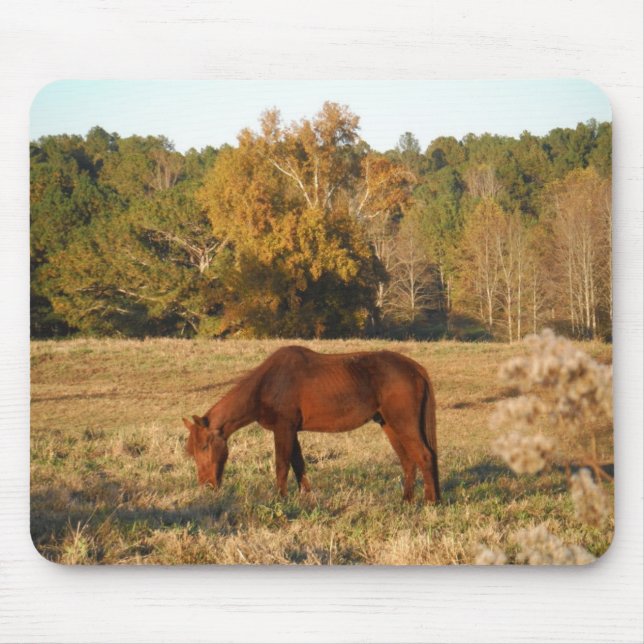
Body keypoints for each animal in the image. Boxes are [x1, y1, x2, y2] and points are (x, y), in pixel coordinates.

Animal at [182, 345, 440, 503]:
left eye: (204, 447)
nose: (206, 486)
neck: (268, 383)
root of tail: (415, 368)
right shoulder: (292, 431)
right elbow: (298, 464)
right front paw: (305, 496)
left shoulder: (284, 428)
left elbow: (282, 464)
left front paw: (281, 498)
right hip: (389, 424)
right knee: (408, 461)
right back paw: (407, 500)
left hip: (402, 423)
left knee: (424, 456)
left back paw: (430, 502)